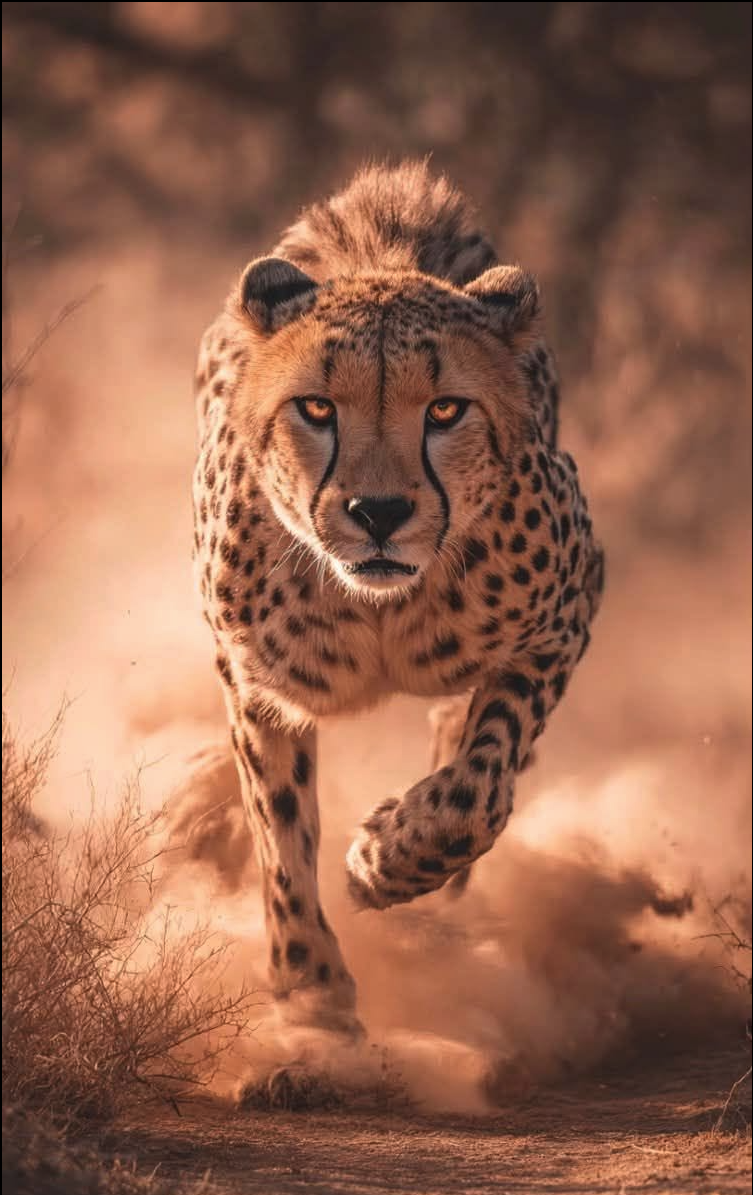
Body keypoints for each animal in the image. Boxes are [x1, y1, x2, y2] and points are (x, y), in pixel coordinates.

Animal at [192, 160, 605, 1037]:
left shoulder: (567, 607)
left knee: (463, 732)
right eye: (316, 407)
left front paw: (386, 861)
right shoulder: (253, 681)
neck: (377, 602)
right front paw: (311, 992)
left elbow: (478, 786)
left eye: (445, 409)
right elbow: (278, 830)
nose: (377, 512)